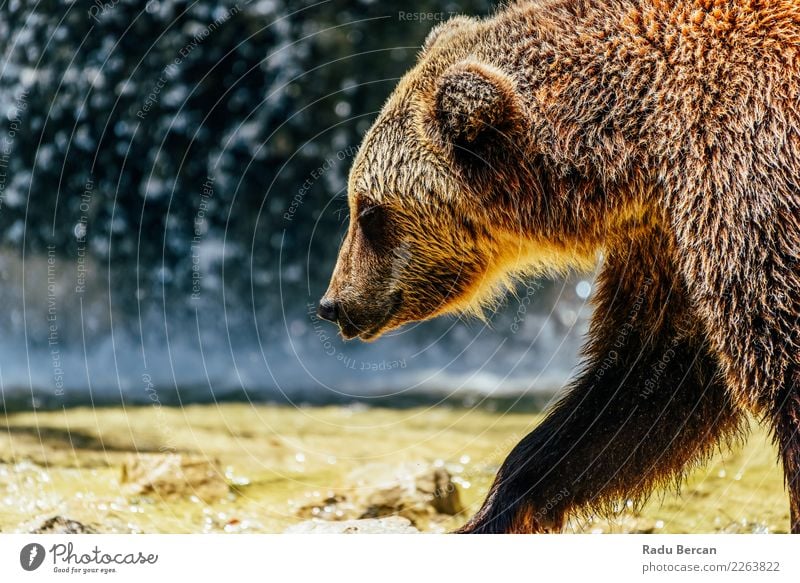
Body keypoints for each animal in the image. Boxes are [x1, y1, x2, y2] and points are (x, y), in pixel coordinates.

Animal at [318, 0, 800, 532]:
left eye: (368, 211)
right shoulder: (666, 239)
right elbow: (646, 379)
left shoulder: (747, 182)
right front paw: (494, 510)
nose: (333, 303)